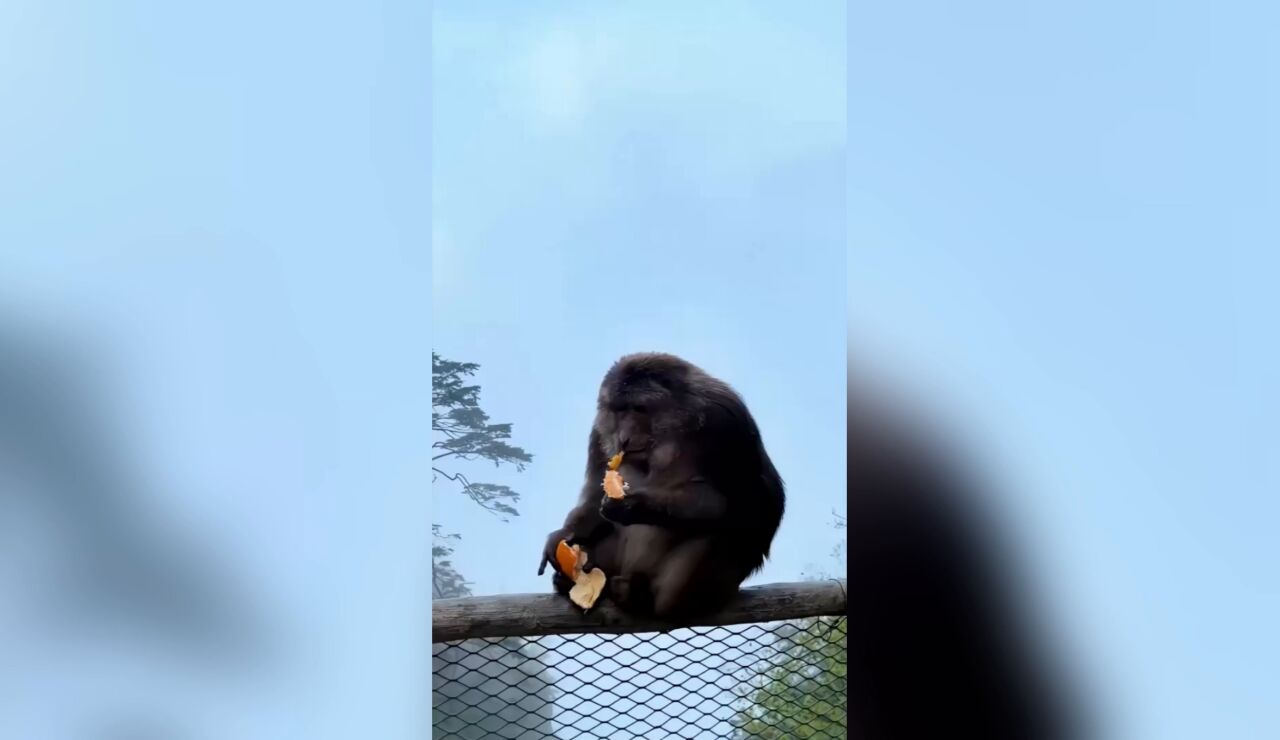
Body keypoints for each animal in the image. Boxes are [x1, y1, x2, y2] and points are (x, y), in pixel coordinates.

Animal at [537, 352, 785, 620]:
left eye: (639, 408)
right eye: (618, 410)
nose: (623, 438)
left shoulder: (727, 423)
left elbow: (746, 507)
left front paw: (633, 505)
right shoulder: (599, 430)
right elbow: (595, 494)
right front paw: (563, 534)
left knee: (724, 533)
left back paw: (639, 597)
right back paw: (571, 581)